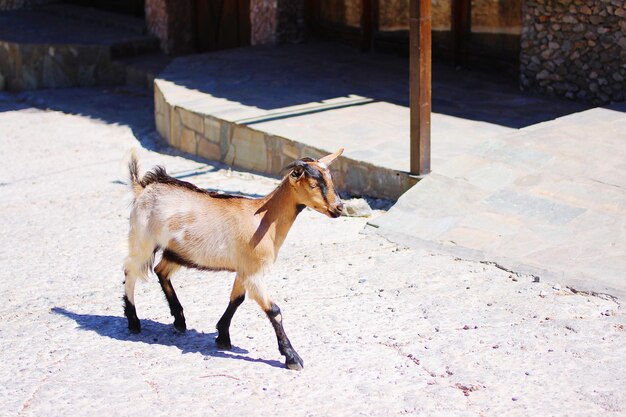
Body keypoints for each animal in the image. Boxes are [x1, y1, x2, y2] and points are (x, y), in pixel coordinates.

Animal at [122, 149, 344, 368]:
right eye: (313, 184)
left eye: (331, 180)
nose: (339, 207)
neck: (263, 221)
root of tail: (142, 188)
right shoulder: (254, 272)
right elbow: (274, 310)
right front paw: (292, 357)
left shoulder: (244, 269)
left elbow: (237, 299)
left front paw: (222, 336)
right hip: (143, 240)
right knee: (130, 272)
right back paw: (133, 322)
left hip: (177, 252)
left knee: (161, 270)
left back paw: (179, 321)